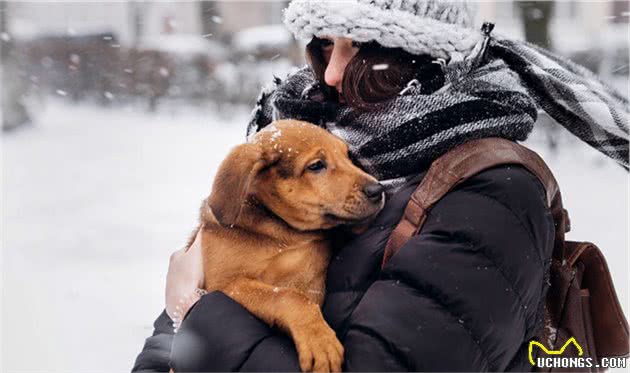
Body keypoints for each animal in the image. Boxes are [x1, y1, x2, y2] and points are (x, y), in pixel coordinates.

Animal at [189, 120, 386, 370]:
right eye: (316, 166)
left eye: (347, 155)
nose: (378, 191)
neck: (284, 235)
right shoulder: (223, 283)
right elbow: (286, 296)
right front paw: (320, 342)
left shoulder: (311, 281)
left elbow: (299, 296)